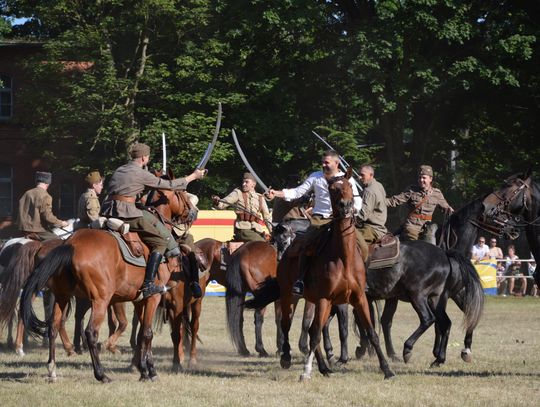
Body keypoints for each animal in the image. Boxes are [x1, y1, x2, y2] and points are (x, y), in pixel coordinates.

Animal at [18, 188, 186, 382]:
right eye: (182, 194)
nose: (193, 212)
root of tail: (70, 244)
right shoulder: (153, 297)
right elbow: (147, 333)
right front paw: (150, 371)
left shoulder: (139, 300)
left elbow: (141, 333)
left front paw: (144, 369)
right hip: (100, 300)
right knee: (90, 332)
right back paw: (101, 374)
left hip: (62, 296)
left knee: (53, 327)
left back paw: (52, 369)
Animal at [247, 171, 394, 380]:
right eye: (333, 189)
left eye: (350, 186)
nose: (346, 206)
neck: (344, 258)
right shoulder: (326, 299)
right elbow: (318, 332)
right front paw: (307, 370)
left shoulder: (358, 298)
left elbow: (370, 331)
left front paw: (387, 369)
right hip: (289, 296)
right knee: (287, 323)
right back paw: (287, 357)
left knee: (309, 329)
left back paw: (324, 367)